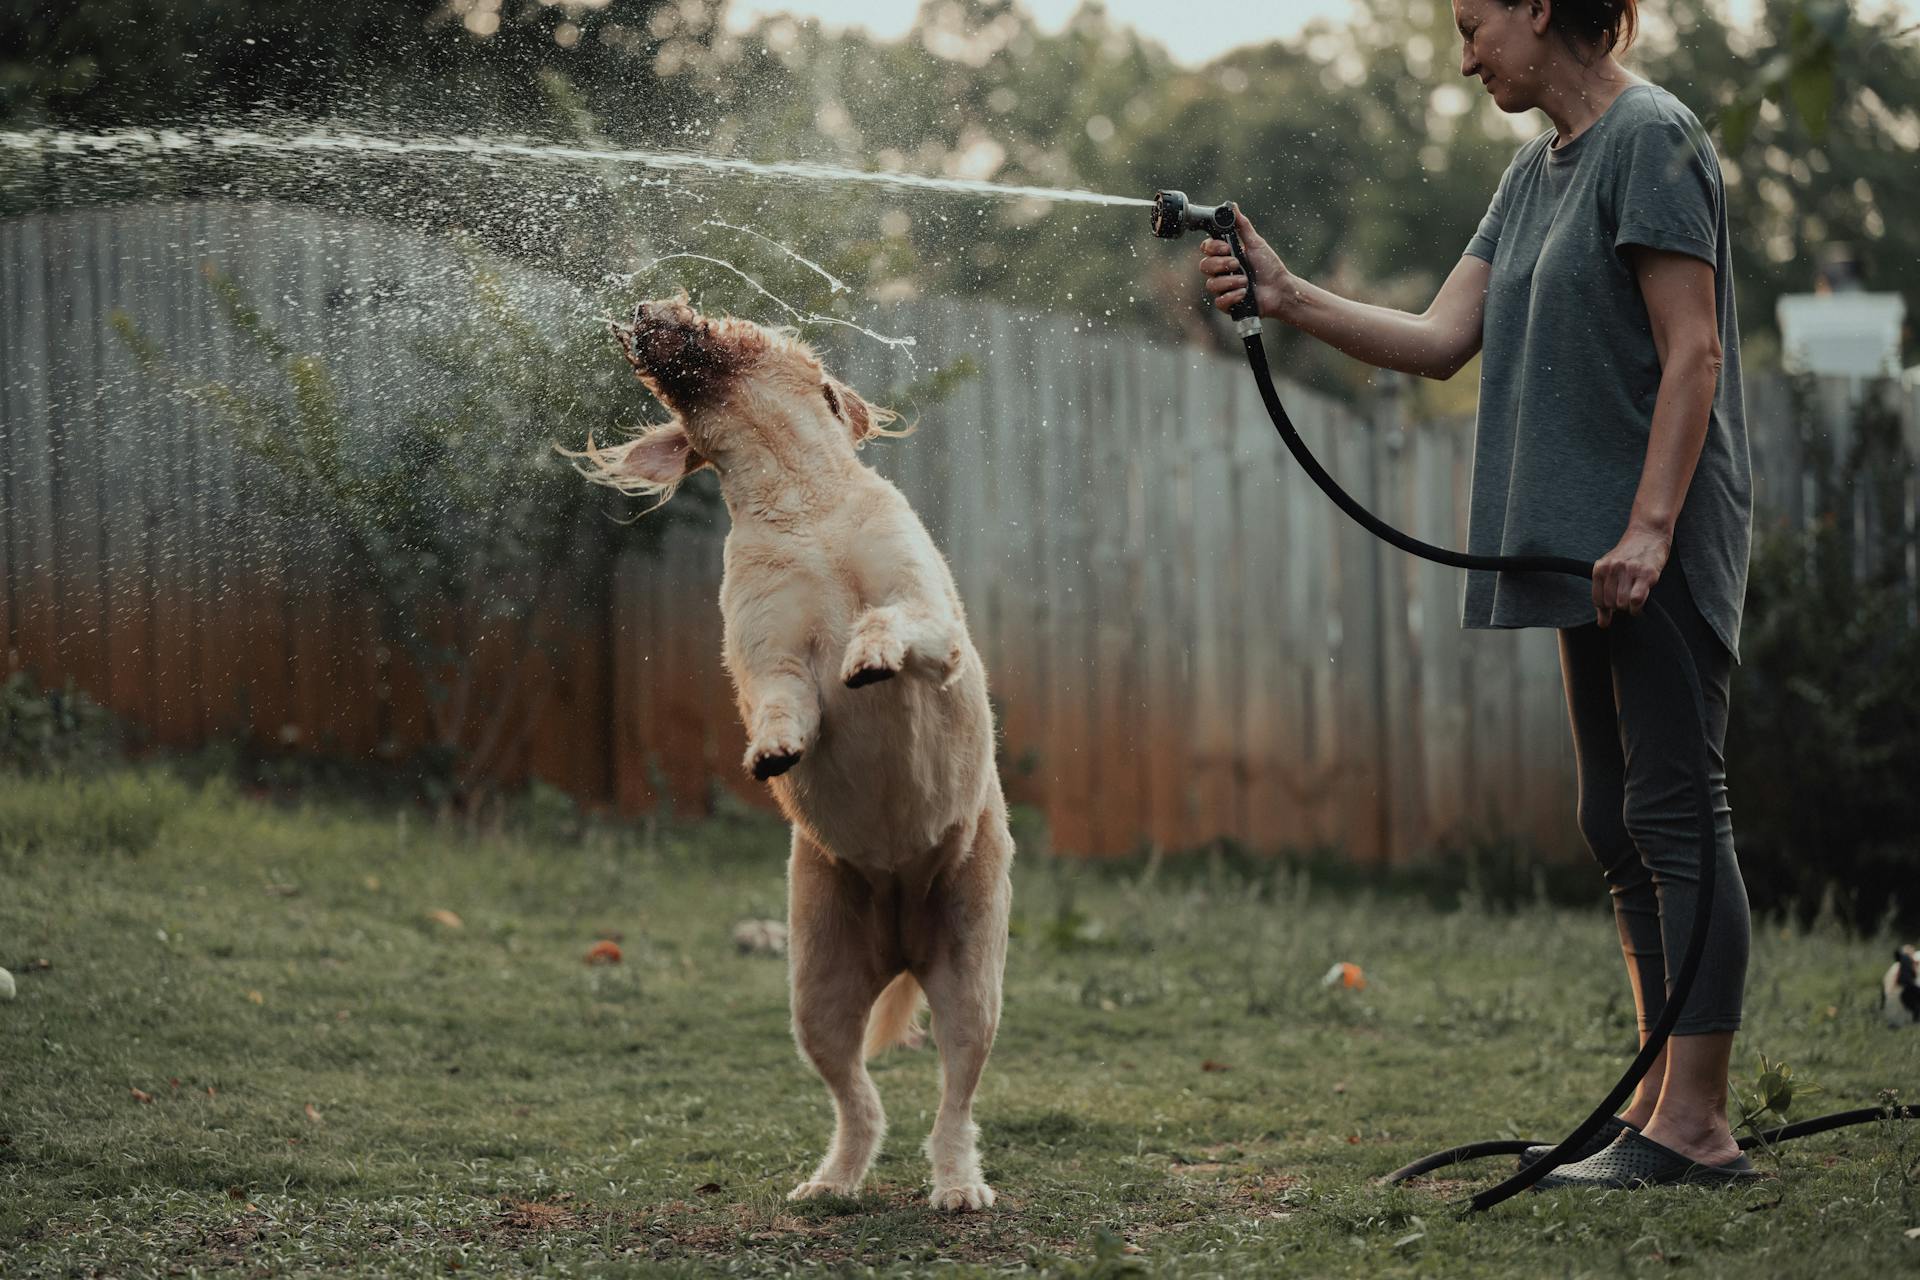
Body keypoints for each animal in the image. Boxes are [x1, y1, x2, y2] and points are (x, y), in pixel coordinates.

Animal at [568, 297, 1021, 1212]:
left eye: (737, 317)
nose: (648, 306)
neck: (804, 505)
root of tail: (902, 928)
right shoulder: (770, 656)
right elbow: (785, 700)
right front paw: (776, 747)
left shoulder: (934, 622)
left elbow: (895, 622)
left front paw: (870, 654)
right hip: (818, 994)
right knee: (860, 1102)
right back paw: (833, 1181)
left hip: (971, 980)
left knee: (955, 1104)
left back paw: (958, 1186)